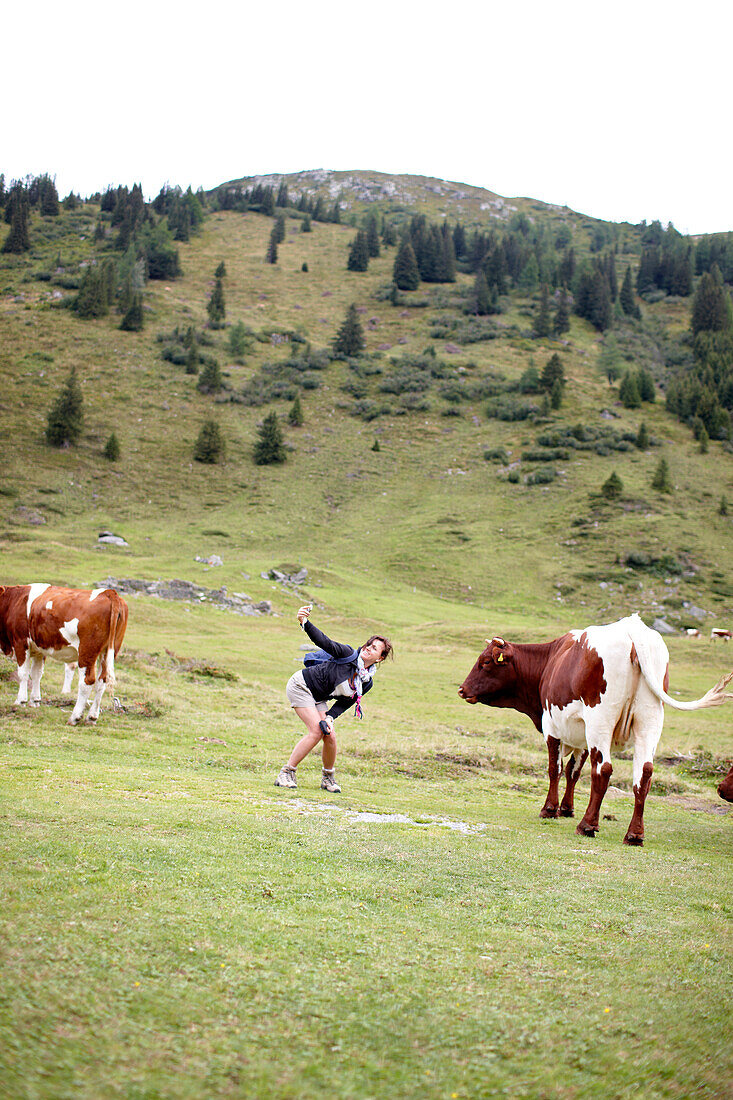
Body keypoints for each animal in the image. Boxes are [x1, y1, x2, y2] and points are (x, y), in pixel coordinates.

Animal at [0, 580, 127, 726]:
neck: (14, 600)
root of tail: (108, 593)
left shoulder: (20, 642)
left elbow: (23, 674)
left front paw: (20, 701)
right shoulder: (39, 649)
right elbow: (37, 673)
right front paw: (35, 701)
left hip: (87, 652)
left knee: (87, 681)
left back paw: (75, 717)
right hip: (108, 651)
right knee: (102, 681)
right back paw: (91, 717)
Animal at [457, 616, 730, 844]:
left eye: (485, 662)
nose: (462, 689)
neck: (550, 660)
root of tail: (634, 631)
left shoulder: (553, 728)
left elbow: (555, 769)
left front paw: (550, 809)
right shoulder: (582, 736)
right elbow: (573, 771)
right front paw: (566, 808)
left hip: (601, 722)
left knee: (603, 770)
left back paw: (587, 825)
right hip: (649, 722)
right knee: (644, 774)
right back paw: (634, 835)